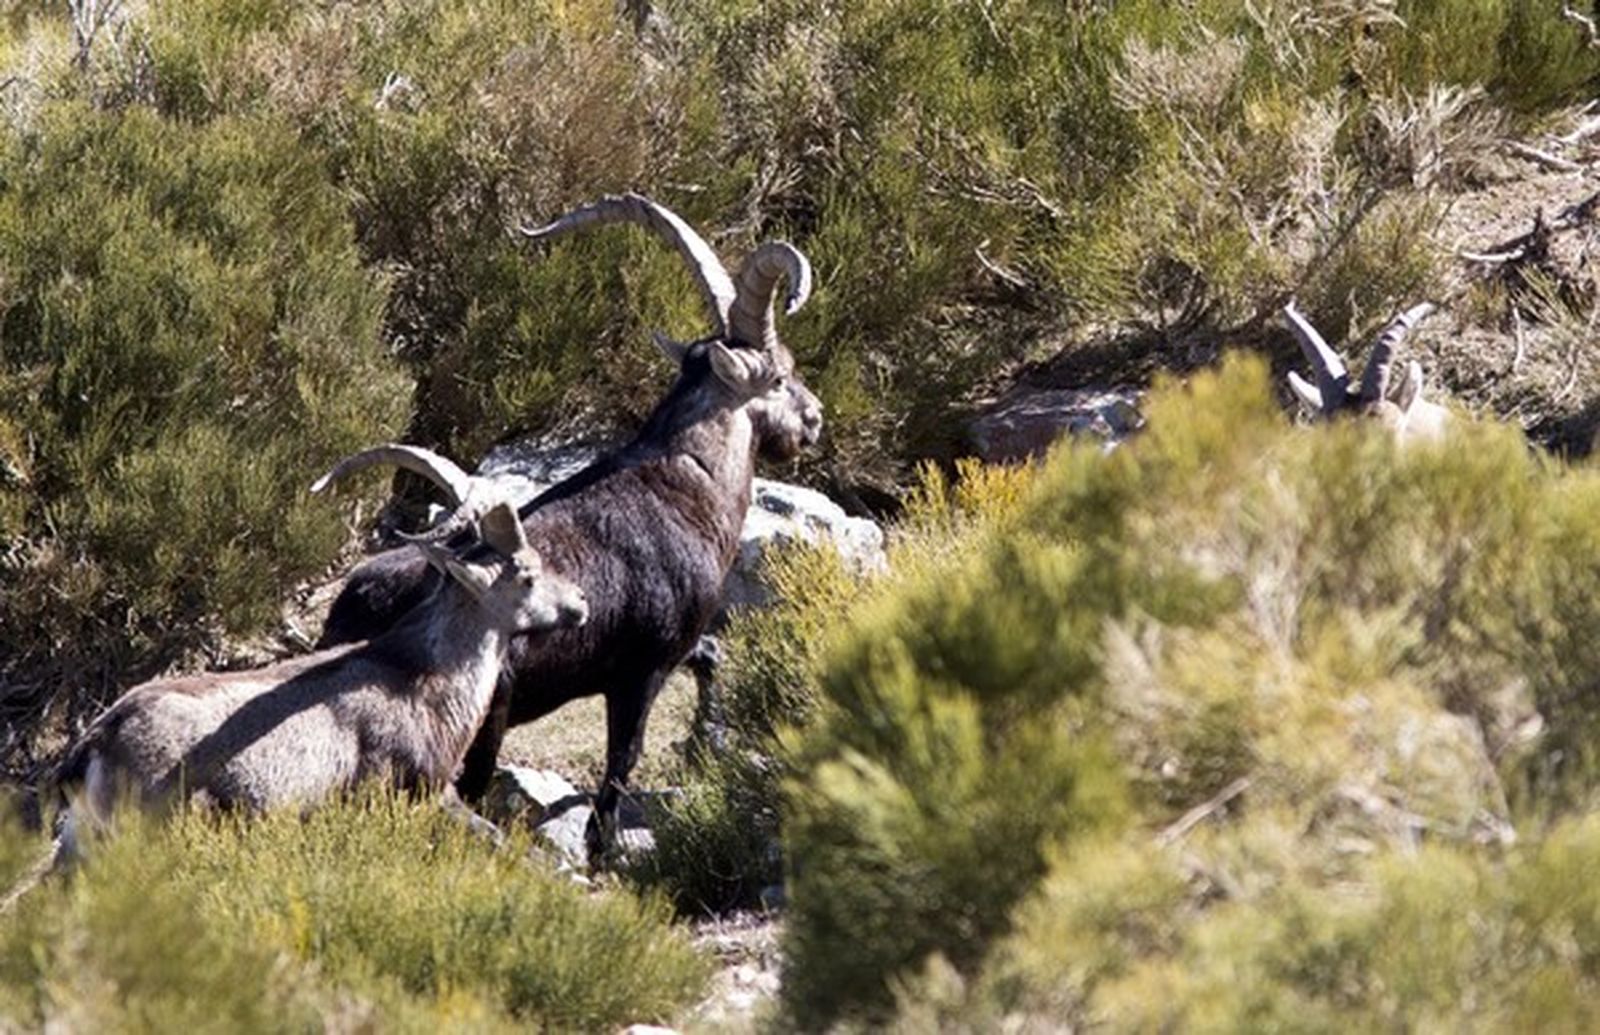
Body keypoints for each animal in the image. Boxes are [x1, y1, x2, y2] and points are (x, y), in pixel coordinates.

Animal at [47, 445, 588, 848]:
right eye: (527, 574)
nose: (580, 602)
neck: (423, 675)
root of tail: (98, 739)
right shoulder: (412, 790)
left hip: (81, 840)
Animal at [317, 193, 824, 862]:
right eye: (779, 374)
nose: (814, 418)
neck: (688, 482)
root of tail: (358, 609)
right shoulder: (643, 668)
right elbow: (623, 758)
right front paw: (603, 846)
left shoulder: (673, 649)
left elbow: (710, 658)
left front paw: (702, 745)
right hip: (484, 718)